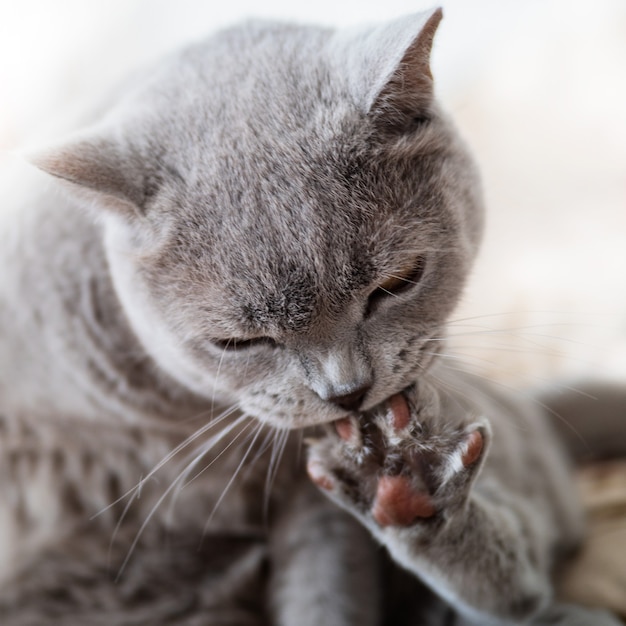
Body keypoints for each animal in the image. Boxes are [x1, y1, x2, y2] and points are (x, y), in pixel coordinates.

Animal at [0, 8, 620, 624]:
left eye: (397, 282)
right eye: (237, 342)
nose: (348, 392)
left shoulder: (306, 494)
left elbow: (326, 591)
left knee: (525, 589)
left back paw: (412, 488)